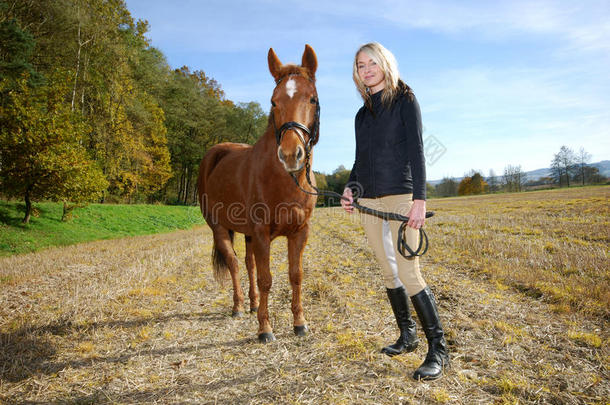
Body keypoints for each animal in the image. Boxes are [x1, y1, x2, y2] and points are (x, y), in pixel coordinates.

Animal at [196, 43, 320, 340]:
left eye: (312, 99)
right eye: (274, 101)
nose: (291, 155)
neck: (285, 180)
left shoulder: (299, 232)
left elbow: (295, 275)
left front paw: (299, 323)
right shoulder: (263, 233)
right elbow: (266, 279)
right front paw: (265, 328)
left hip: (248, 234)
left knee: (248, 264)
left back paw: (252, 304)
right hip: (219, 227)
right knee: (234, 264)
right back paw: (239, 306)